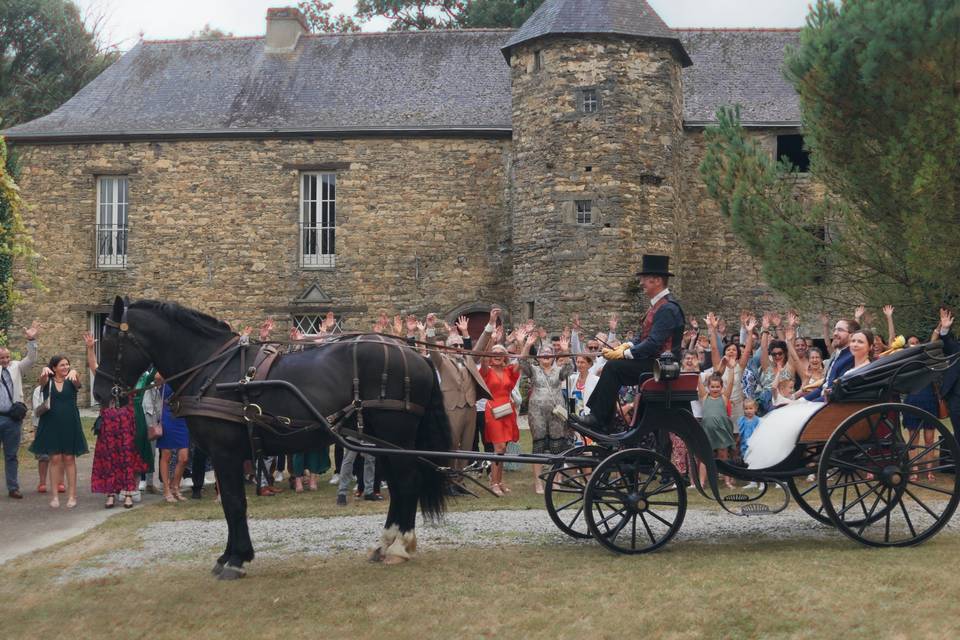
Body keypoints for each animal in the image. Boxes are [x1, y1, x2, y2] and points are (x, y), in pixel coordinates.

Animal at [92, 298, 452, 576]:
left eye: (108, 342)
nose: (99, 393)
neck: (212, 369)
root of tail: (417, 355)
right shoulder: (227, 456)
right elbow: (231, 503)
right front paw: (230, 554)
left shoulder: (224, 452)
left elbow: (234, 503)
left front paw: (236, 559)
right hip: (381, 438)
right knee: (402, 484)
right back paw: (387, 543)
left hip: (394, 433)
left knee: (407, 482)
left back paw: (399, 545)